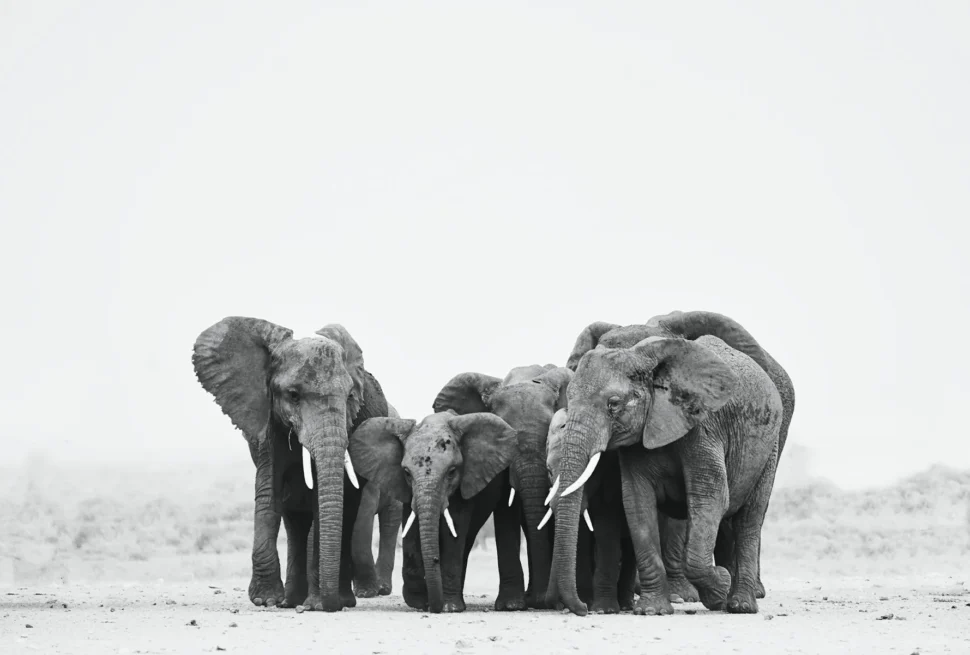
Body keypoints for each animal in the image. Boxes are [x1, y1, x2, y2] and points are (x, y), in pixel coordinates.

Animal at [193, 318, 391, 612]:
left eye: (350, 396)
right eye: (294, 395)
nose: (327, 605)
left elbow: (322, 502)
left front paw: (318, 603)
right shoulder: (266, 425)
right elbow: (268, 493)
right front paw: (265, 600)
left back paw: (334, 599)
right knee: (294, 519)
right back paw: (292, 601)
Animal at [348, 410, 520, 613]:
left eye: (452, 471)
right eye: (406, 472)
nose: (432, 606)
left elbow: (455, 529)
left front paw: (449, 607)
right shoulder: (406, 489)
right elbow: (412, 529)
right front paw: (418, 602)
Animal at [546, 319, 786, 616]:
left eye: (613, 404)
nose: (581, 609)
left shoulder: (704, 427)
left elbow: (710, 497)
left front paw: (719, 587)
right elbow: (637, 502)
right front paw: (652, 610)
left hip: (769, 448)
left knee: (750, 519)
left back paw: (741, 605)